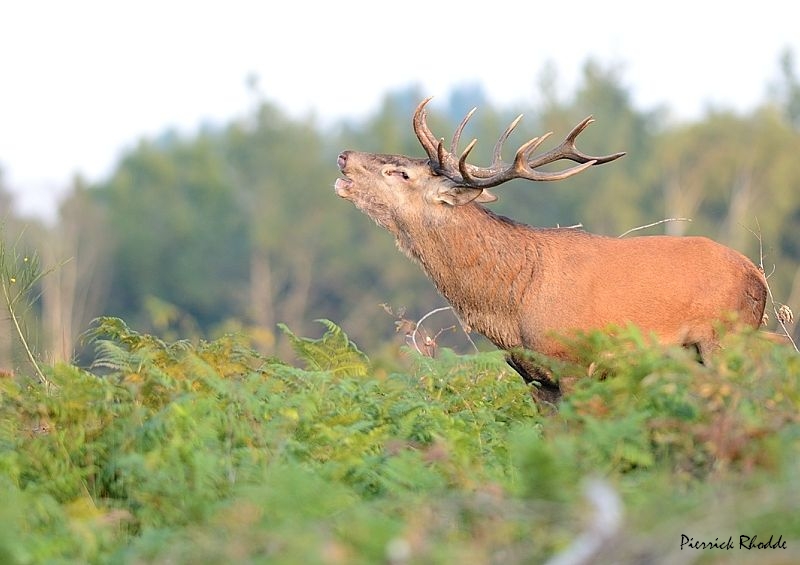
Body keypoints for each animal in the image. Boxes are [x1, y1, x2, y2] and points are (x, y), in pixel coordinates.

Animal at [334, 97, 768, 404]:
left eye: (400, 173)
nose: (343, 156)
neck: (510, 307)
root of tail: (758, 277)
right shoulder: (535, 379)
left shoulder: (575, 365)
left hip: (724, 341)